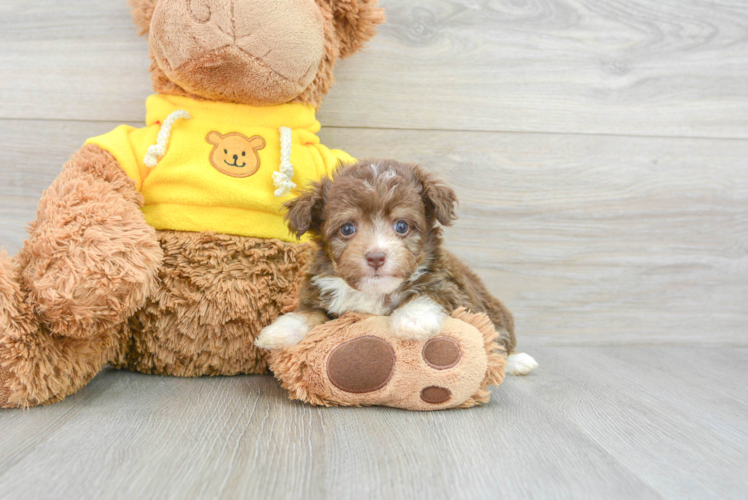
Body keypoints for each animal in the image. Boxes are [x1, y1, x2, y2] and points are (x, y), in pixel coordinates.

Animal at [258, 160, 536, 376]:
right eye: (347, 228)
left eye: (401, 226)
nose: (376, 257)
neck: (375, 292)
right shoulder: (319, 293)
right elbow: (309, 313)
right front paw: (278, 331)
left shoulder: (452, 288)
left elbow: (429, 293)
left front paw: (411, 320)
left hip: (497, 313)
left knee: (500, 343)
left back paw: (519, 362)